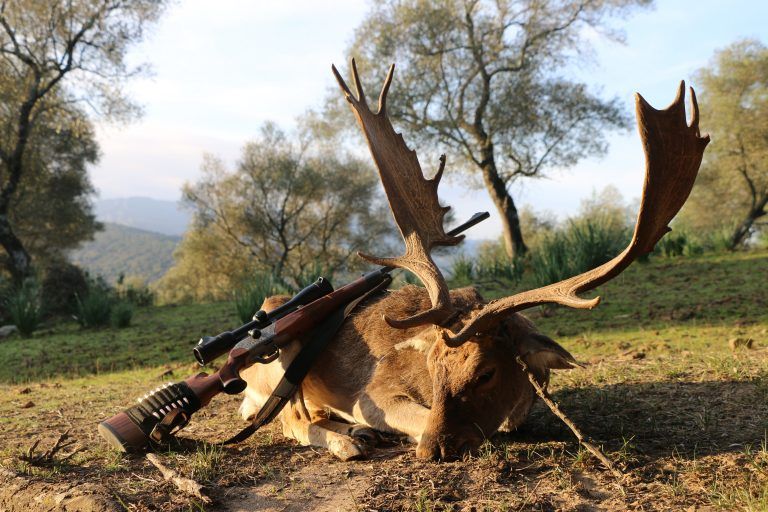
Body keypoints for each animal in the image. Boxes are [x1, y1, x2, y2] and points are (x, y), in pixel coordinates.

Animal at [238, 60, 709, 461]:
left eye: (486, 374)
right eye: (433, 368)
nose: (432, 450)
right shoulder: (372, 390)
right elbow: (403, 413)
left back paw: (355, 433)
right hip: (279, 360)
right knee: (290, 421)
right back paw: (348, 441)